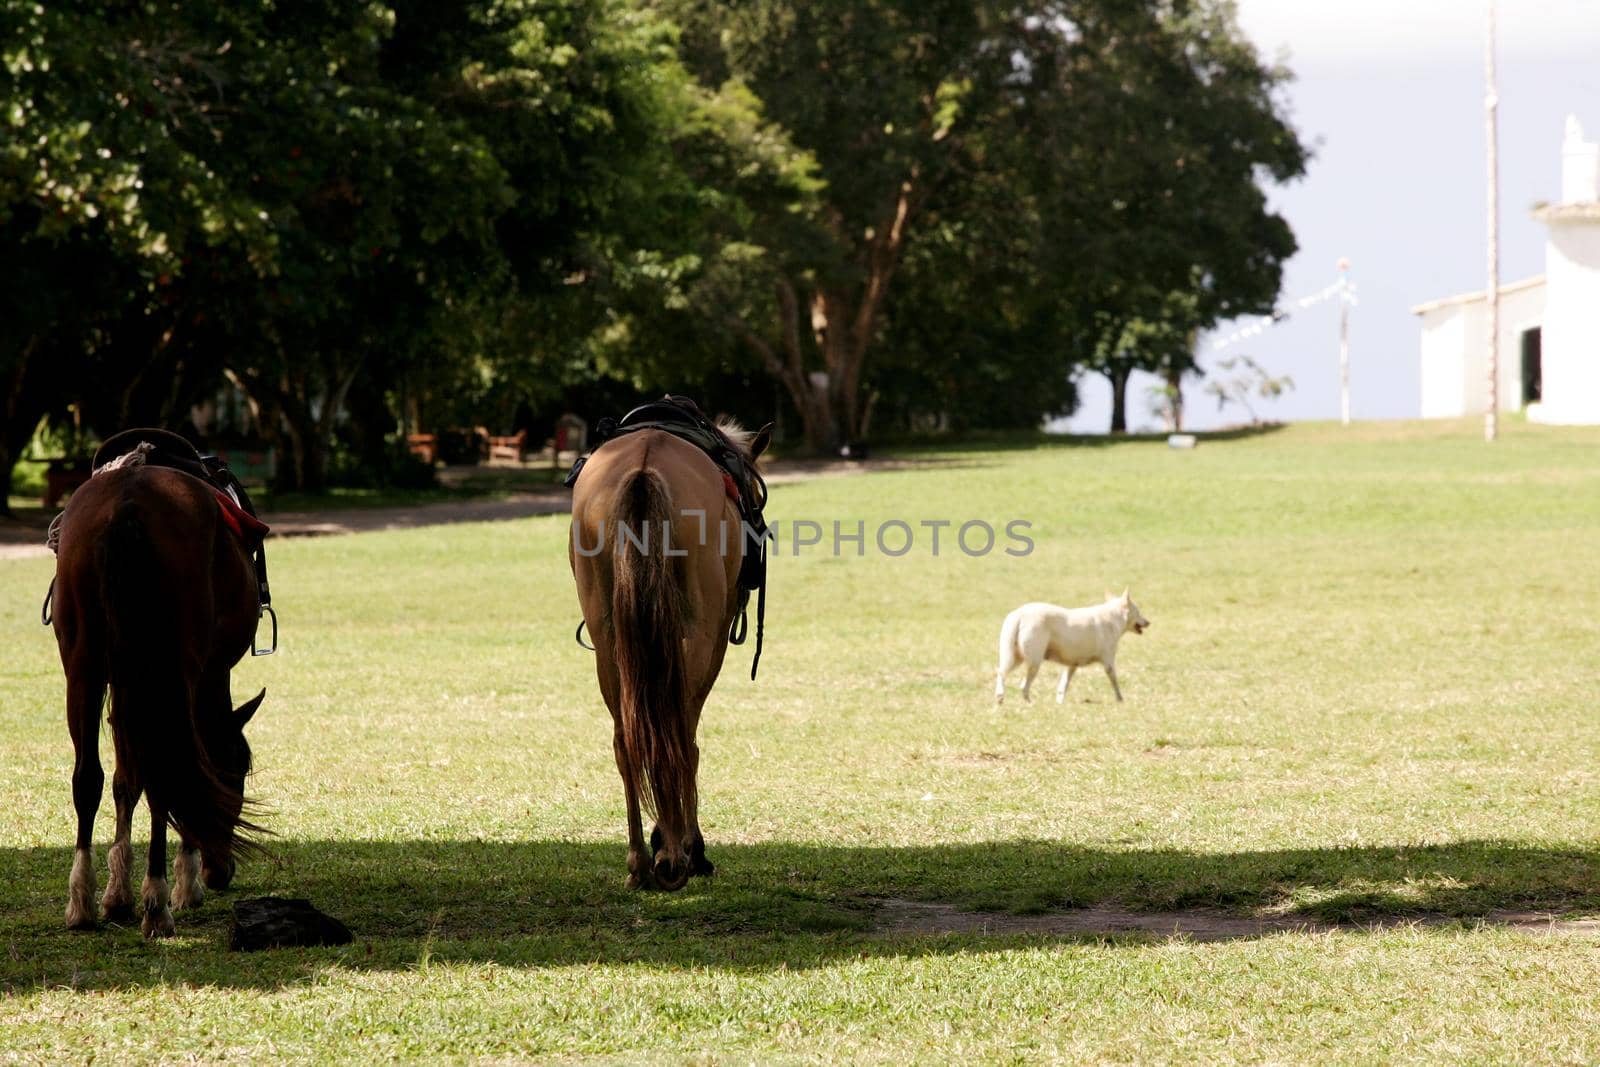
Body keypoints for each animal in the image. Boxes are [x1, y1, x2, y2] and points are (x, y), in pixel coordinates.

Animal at [53, 460, 265, 934]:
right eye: (237, 773)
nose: (220, 873)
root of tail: (129, 500)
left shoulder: (125, 686)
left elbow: (124, 779)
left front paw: (117, 896)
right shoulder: (202, 676)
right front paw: (182, 884)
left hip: (84, 666)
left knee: (87, 778)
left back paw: (82, 903)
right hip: (171, 672)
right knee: (165, 774)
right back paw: (157, 903)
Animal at [569, 404, 768, 889]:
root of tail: (643, 468)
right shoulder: (712, 636)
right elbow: (686, 733)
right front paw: (685, 845)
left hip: (611, 640)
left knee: (628, 740)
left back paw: (640, 862)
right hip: (695, 630)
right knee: (677, 735)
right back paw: (681, 854)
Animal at [985, 588, 1152, 703]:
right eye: (1138, 611)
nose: (1148, 622)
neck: (1114, 617)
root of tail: (1018, 615)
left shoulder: (1072, 665)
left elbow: (1063, 686)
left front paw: (1059, 703)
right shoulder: (1108, 663)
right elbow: (1115, 682)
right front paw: (1120, 699)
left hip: (1015, 658)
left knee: (1001, 672)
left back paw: (1000, 698)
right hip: (1033, 662)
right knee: (1023, 686)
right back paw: (1029, 703)